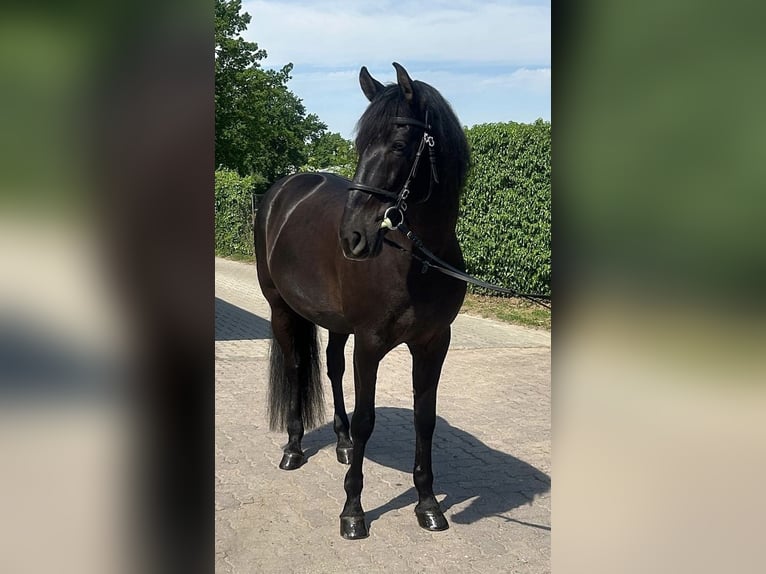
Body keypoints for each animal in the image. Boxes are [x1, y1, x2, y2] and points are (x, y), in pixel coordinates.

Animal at [255, 62, 470, 539]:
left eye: (400, 145)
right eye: (358, 145)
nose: (353, 237)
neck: (416, 261)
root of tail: (283, 188)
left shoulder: (433, 344)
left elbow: (424, 418)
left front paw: (428, 504)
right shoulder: (370, 344)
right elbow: (367, 418)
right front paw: (352, 511)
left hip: (336, 323)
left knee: (332, 369)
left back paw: (342, 444)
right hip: (281, 309)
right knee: (296, 368)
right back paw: (294, 449)